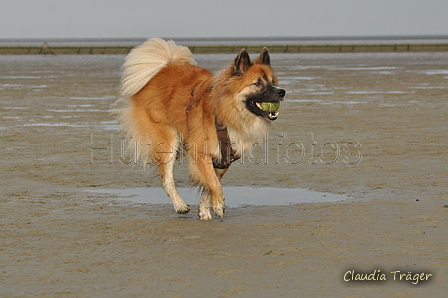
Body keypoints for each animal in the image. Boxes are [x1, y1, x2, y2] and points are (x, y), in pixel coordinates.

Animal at [114, 37, 286, 219]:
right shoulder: (201, 153)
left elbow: (209, 186)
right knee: (166, 178)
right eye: (258, 83)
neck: (226, 110)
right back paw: (180, 205)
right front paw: (218, 204)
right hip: (168, 141)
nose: (282, 92)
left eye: (273, 81)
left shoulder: (223, 159)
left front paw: (204, 211)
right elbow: (213, 183)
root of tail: (162, 69)